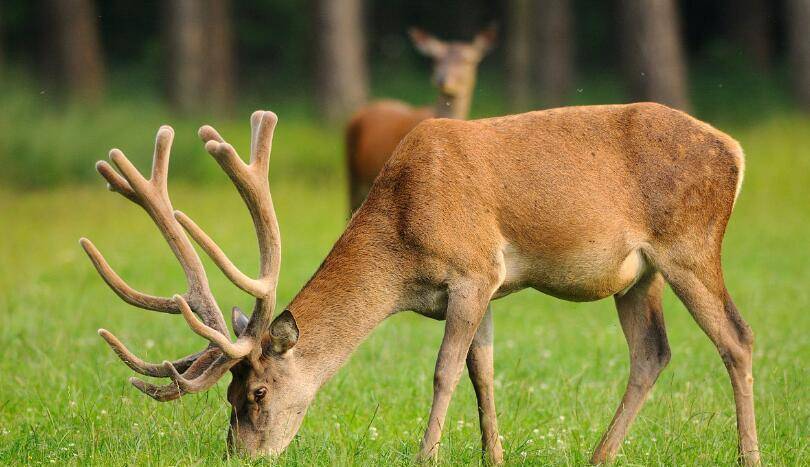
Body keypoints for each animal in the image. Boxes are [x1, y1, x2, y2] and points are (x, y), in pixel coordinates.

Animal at [83, 104, 756, 466]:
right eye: (227, 395)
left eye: (256, 393)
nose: (239, 453)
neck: (403, 247)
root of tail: (735, 150)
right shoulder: (486, 291)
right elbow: (483, 372)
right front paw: (493, 456)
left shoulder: (473, 271)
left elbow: (444, 372)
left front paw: (425, 454)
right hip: (639, 274)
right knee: (652, 352)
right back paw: (598, 456)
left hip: (690, 244)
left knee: (737, 339)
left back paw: (747, 452)